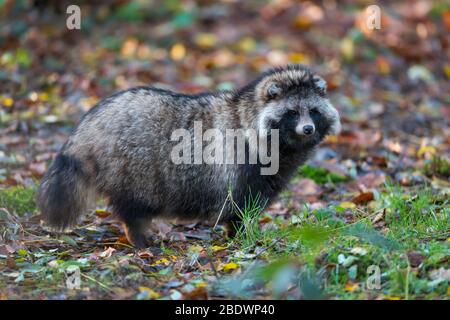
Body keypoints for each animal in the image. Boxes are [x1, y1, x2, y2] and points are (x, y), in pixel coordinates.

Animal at [37, 65, 342, 248]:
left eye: (313, 111)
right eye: (292, 113)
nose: (308, 128)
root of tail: (89, 123)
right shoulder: (242, 162)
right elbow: (238, 204)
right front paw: (240, 235)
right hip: (130, 166)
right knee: (134, 206)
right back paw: (138, 236)